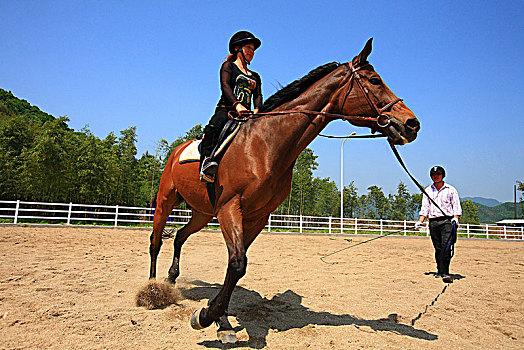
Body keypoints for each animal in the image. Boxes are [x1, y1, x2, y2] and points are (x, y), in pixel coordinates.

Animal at [149, 38, 420, 342]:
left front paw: (220, 318)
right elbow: (237, 263)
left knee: (180, 236)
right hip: (166, 200)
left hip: (203, 213)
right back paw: (151, 290)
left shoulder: (257, 216)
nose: (412, 124)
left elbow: (236, 265)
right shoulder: (230, 207)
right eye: (374, 80)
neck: (266, 144)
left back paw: (171, 279)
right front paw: (207, 316)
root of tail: (177, 151)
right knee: (156, 240)